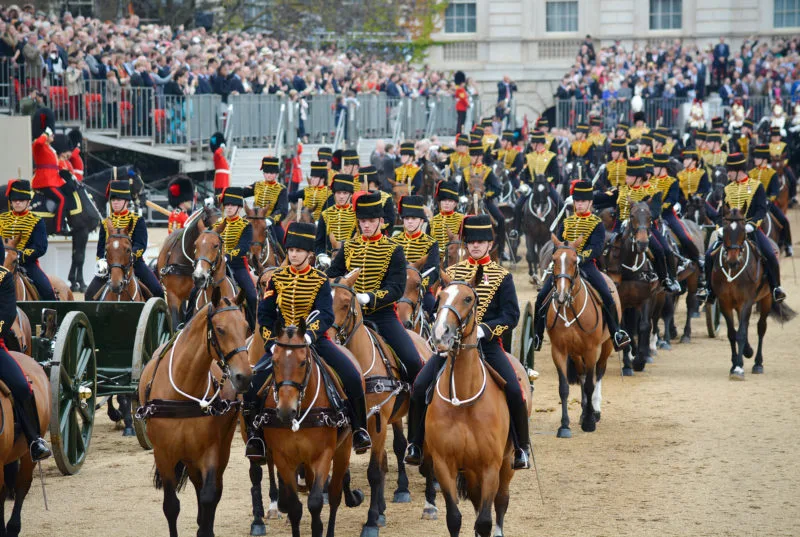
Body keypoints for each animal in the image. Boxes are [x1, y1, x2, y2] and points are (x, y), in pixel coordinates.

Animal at [137, 286, 250, 536]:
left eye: (247, 327)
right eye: (220, 329)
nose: (244, 376)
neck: (182, 394)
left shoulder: (210, 451)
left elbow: (209, 497)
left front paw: (204, 529)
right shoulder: (164, 454)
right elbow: (171, 506)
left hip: (218, 449)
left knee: (213, 489)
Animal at [330, 270, 438, 532]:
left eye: (345, 304)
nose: (325, 336)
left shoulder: (377, 421)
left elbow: (374, 472)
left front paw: (371, 521)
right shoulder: (352, 426)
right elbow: (351, 470)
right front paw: (360, 501)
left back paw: (430, 501)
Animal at [544, 234, 620, 436]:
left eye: (574, 261)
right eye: (554, 260)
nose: (561, 296)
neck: (571, 309)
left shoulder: (591, 350)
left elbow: (590, 385)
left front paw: (590, 422)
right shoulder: (559, 351)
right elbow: (564, 387)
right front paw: (564, 425)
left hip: (607, 344)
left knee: (599, 372)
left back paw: (595, 411)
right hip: (576, 353)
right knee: (582, 374)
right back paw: (585, 411)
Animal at [708, 207, 796, 378]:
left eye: (743, 230)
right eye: (725, 228)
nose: (732, 261)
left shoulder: (747, 301)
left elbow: (741, 332)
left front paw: (738, 367)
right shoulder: (724, 302)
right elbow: (732, 333)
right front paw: (735, 363)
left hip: (766, 298)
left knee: (761, 327)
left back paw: (758, 363)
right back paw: (748, 351)